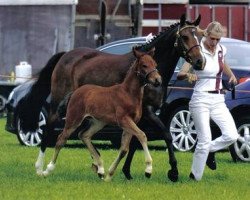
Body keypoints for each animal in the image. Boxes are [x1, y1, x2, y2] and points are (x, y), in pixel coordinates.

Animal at [41, 48, 161, 181]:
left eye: (155, 64)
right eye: (144, 65)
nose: (158, 80)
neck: (128, 93)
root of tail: (75, 92)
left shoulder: (131, 123)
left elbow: (124, 149)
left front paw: (109, 175)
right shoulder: (123, 120)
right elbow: (142, 135)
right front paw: (148, 170)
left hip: (98, 122)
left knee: (84, 135)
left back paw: (101, 169)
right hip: (74, 119)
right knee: (61, 139)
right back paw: (47, 170)